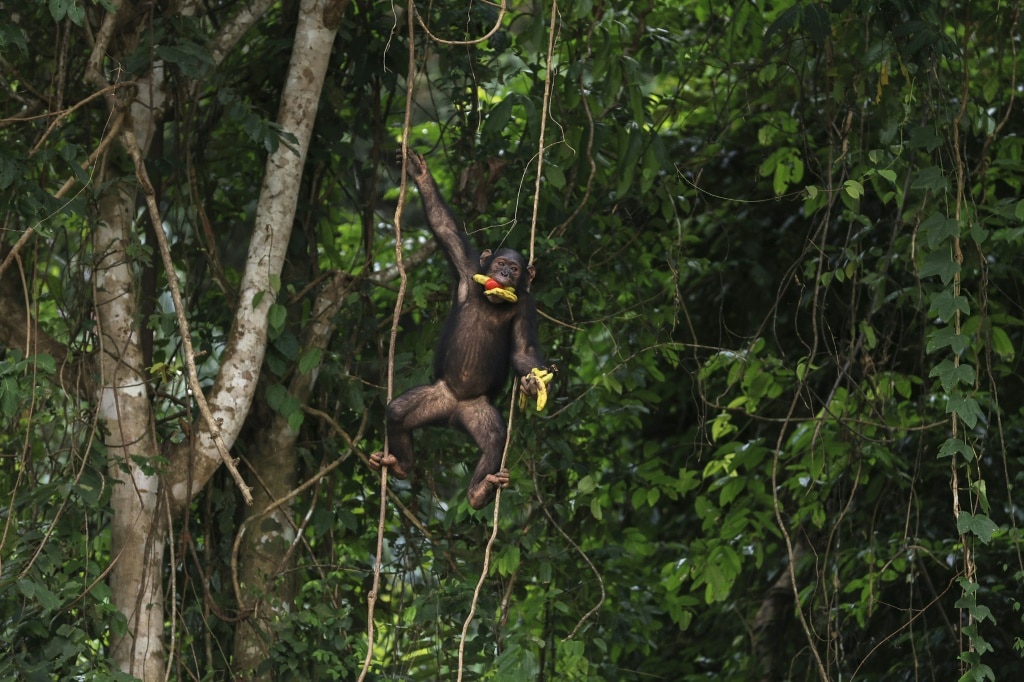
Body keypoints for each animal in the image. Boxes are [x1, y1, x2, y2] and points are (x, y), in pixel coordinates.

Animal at [370, 151, 552, 507]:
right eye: (500, 264)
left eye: (515, 269)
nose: (505, 274)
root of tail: (452, 415)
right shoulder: (467, 267)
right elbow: (444, 227)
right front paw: (419, 173)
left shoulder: (527, 305)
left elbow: (524, 351)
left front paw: (534, 383)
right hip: (434, 398)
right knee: (398, 412)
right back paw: (402, 465)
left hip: (476, 412)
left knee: (494, 438)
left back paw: (478, 491)